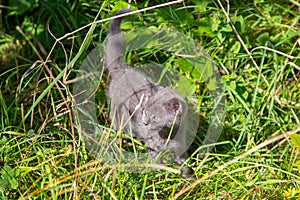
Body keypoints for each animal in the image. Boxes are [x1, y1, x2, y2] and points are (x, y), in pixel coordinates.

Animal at [105, 8, 192, 178]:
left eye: (156, 116)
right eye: (144, 111)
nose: (145, 122)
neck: (167, 135)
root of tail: (123, 68)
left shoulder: (181, 143)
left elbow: (182, 158)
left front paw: (187, 172)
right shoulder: (152, 144)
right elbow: (155, 158)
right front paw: (157, 171)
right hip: (118, 114)